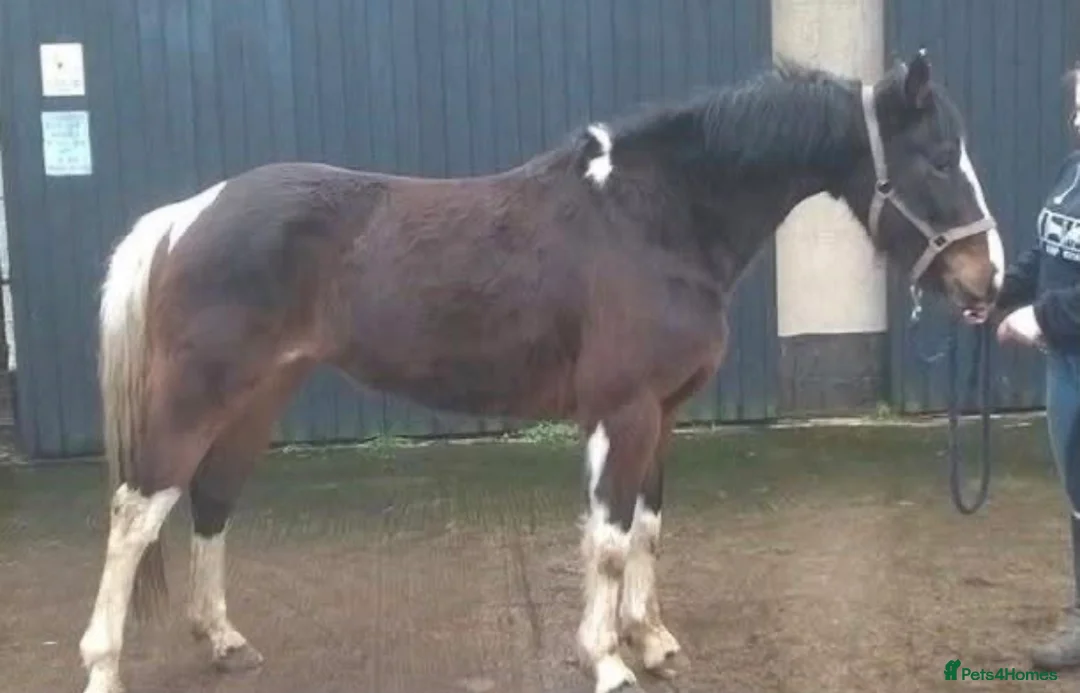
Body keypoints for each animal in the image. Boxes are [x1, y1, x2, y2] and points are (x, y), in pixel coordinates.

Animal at [78, 49, 1003, 693]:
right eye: (939, 158)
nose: (986, 280)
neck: (654, 218)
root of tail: (188, 213)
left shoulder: (664, 414)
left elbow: (648, 529)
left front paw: (652, 641)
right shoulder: (621, 410)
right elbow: (608, 540)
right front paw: (609, 660)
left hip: (257, 397)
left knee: (210, 503)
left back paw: (224, 640)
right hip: (198, 395)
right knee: (133, 512)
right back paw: (103, 664)